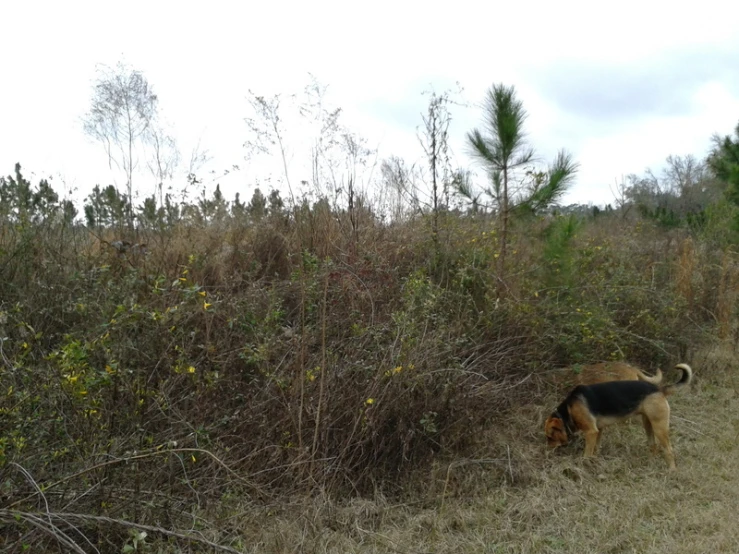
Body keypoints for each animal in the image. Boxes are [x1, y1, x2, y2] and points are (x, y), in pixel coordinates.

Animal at [544, 362, 692, 470]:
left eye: (550, 437)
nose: (548, 451)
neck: (568, 409)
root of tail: (659, 389)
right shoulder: (598, 430)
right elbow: (595, 448)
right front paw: (594, 461)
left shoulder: (591, 432)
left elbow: (587, 453)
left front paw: (584, 464)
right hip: (648, 424)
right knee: (653, 445)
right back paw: (650, 463)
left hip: (659, 427)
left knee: (668, 450)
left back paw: (672, 470)